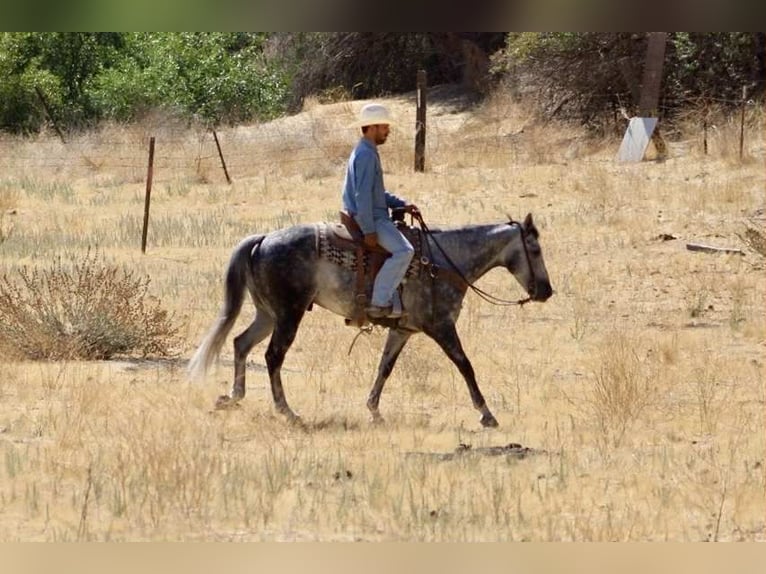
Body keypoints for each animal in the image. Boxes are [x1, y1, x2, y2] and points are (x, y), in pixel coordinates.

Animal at [188, 212, 553, 428]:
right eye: (535, 250)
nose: (546, 291)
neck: (443, 261)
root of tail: (262, 239)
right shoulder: (441, 326)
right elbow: (465, 365)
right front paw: (486, 414)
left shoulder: (403, 331)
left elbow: (384, 368)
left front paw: (374, 409)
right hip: (289, 313)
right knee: (273, 356)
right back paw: (287, 412)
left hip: (268, 313)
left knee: (241, 343)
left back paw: (233, 397)